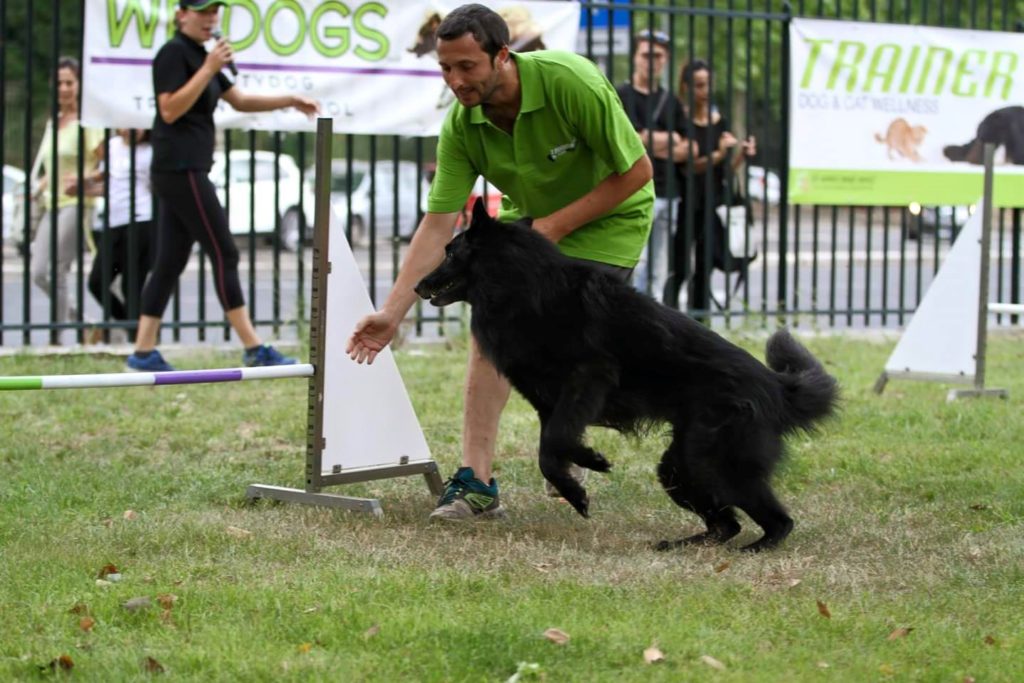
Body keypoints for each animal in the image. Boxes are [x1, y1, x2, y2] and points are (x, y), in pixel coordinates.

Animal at [415, 200, 839, 552]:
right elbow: (552, 447)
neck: (521, 285)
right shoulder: (551, 402)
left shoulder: (587, 380)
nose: (418, 285)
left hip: (712, 462)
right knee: (725, 524)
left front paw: (580, 482)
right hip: (679, 467)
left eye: (450, 252)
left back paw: (755, 549)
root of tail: (777, 387)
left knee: (778, 521)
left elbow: (552, 445)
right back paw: (685, 545)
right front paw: (583, 469)